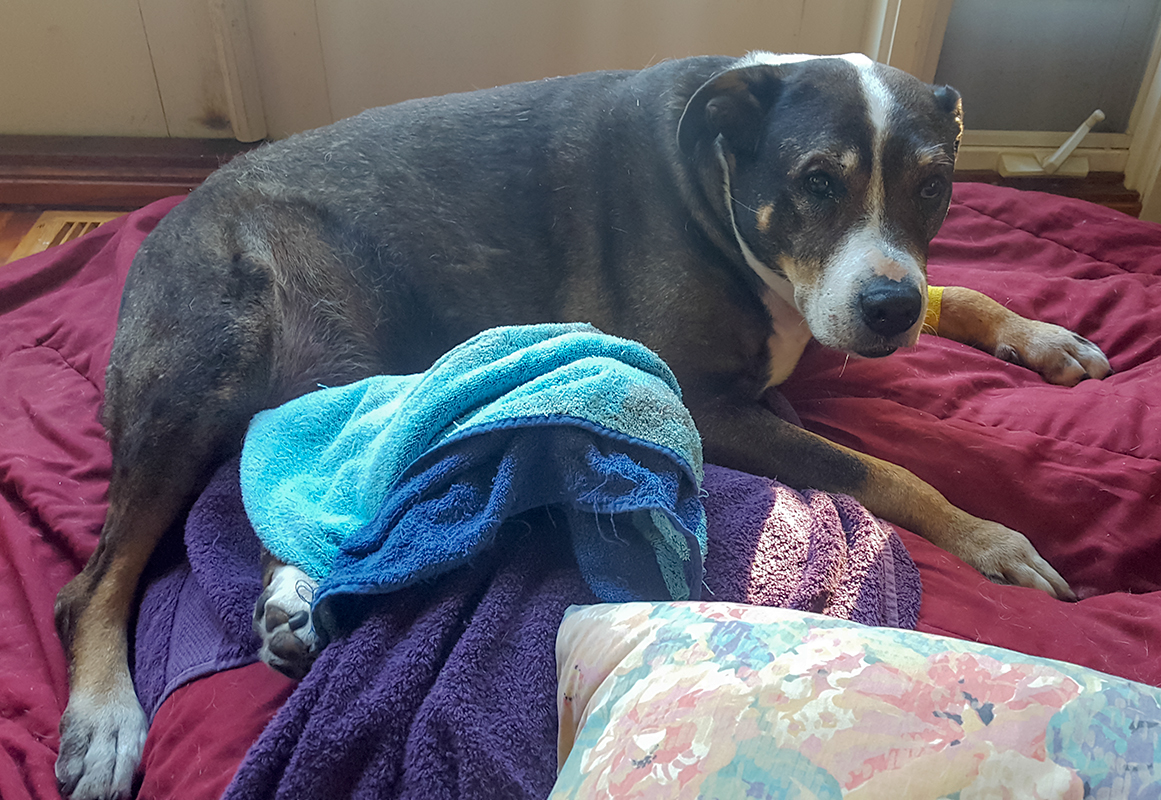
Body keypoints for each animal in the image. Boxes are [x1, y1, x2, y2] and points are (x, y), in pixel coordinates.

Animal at [53, 52, 1110, 799]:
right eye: (816, 181)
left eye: (933, 187)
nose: (887, 310)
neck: (718, 180)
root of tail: (164, 222)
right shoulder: (708, 403)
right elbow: (882, 471)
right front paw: (991, 537)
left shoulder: (846, 306)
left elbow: (954, 289)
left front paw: (1039, 335)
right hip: (200, 375)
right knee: (96, 582)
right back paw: (106, 719)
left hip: (354, 360)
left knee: (301, 465)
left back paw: (291, 596)